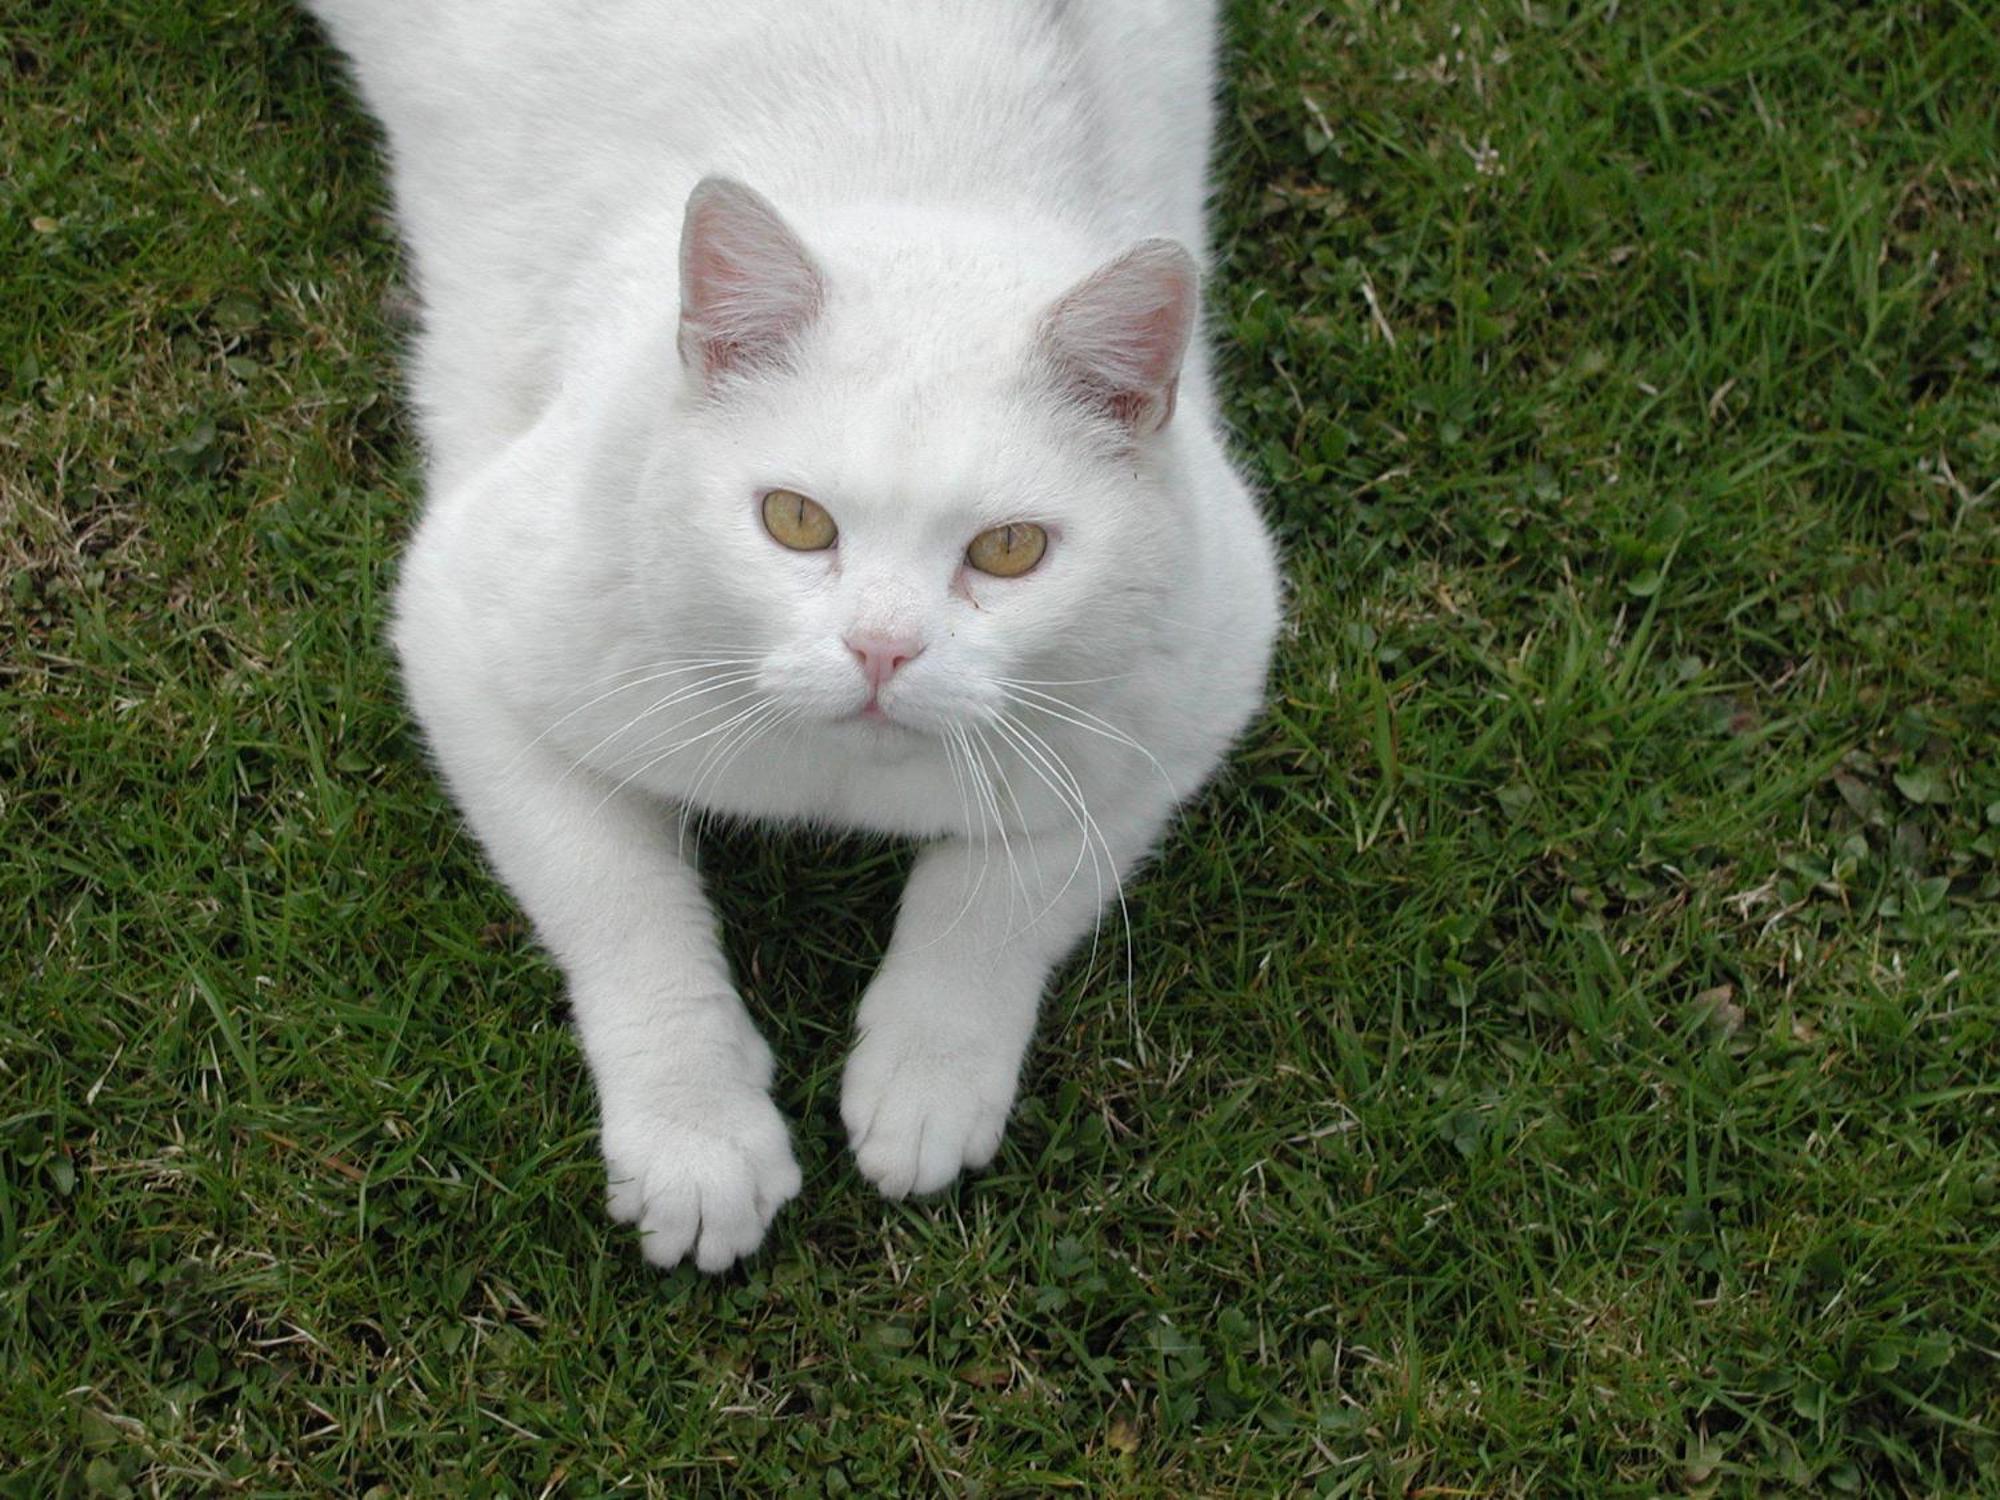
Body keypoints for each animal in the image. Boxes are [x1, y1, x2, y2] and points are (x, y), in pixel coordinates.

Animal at [312, 0, 1280, 1272]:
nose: (881, 650)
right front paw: (695, 1134)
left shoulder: (1186, 692)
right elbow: (619, 904)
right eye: (794, 520)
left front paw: (928, 1075)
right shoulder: (462, 628)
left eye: (1010, 549)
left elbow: (1005, 898)